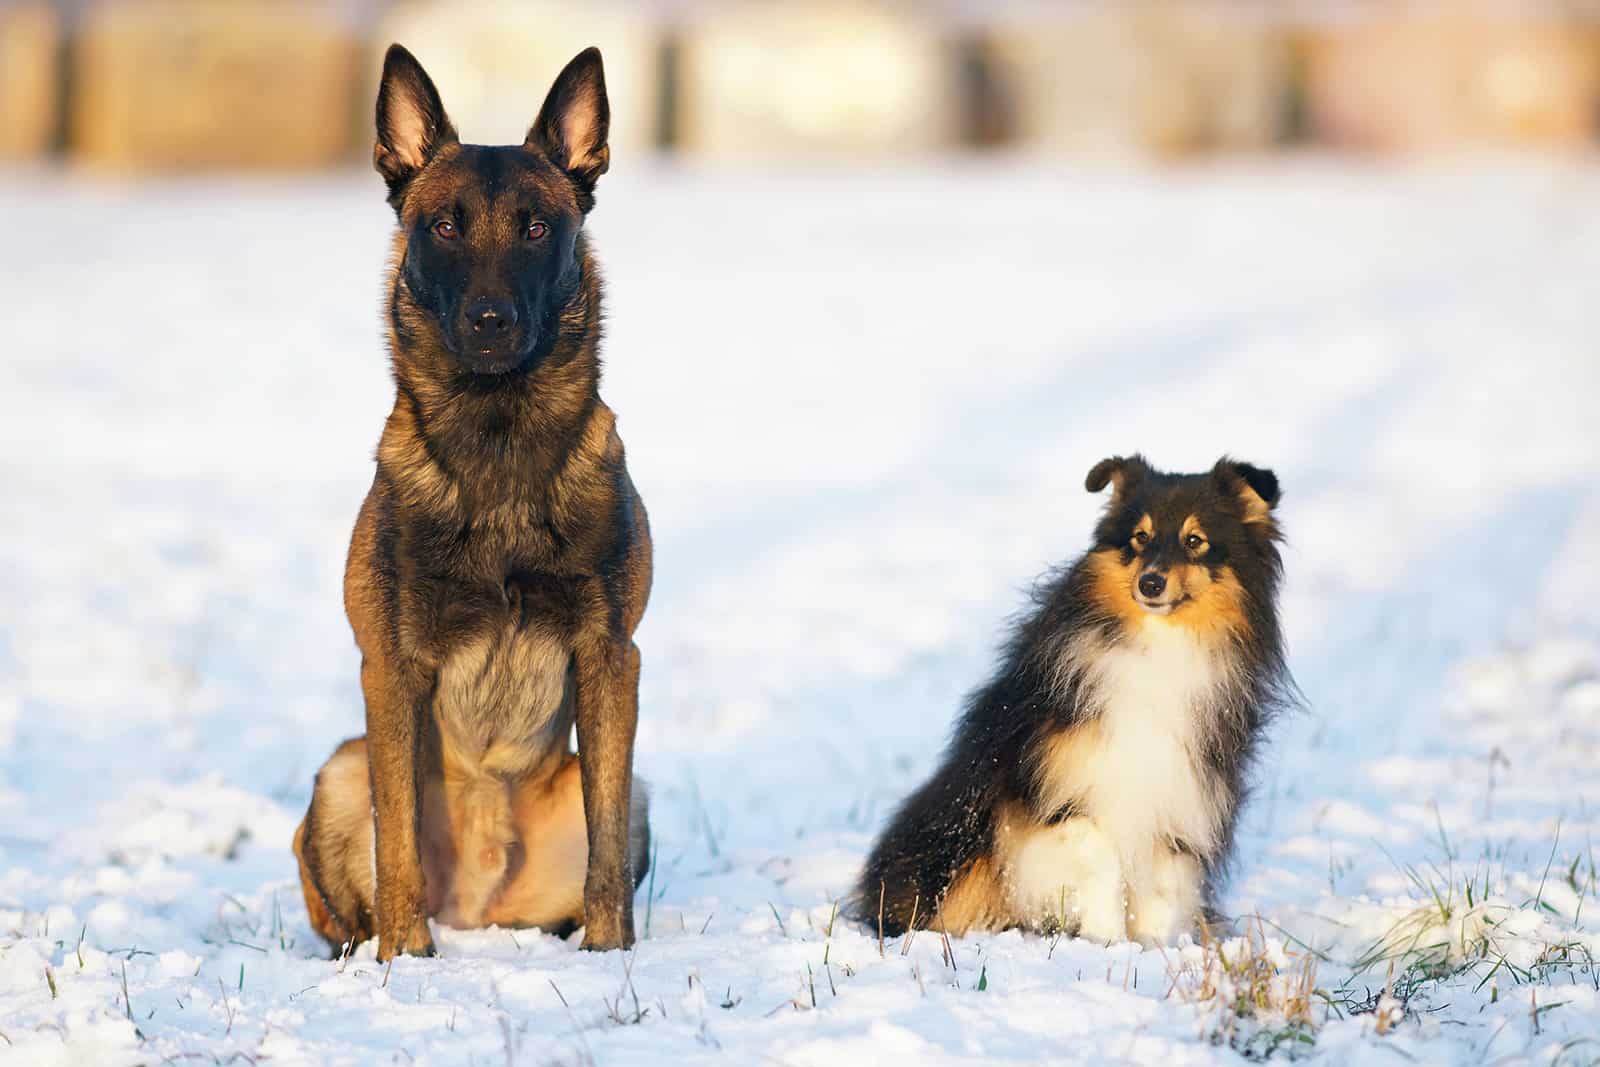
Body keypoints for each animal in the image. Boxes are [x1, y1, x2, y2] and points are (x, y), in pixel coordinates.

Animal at [294, 43, 649, 959]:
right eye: (444, 226)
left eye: (537, 228)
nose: (492, 321)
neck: (498, 442)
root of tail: (482, 910)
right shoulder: (391, 664)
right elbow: (399, 844)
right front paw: (405, 962)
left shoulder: (611, 654)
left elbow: (603, 849)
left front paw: (612, 957)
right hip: (340, 768)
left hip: (638, 793)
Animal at [851, 457, 1286, 940]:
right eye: (1140, 537)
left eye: (1195, 541)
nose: (1151, 584)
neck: (1159, 644)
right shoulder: (1061, 788)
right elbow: (1101, 862)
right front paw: (1108, 942)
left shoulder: (1181, 795)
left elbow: (1162, 890)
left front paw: (1153, 950)